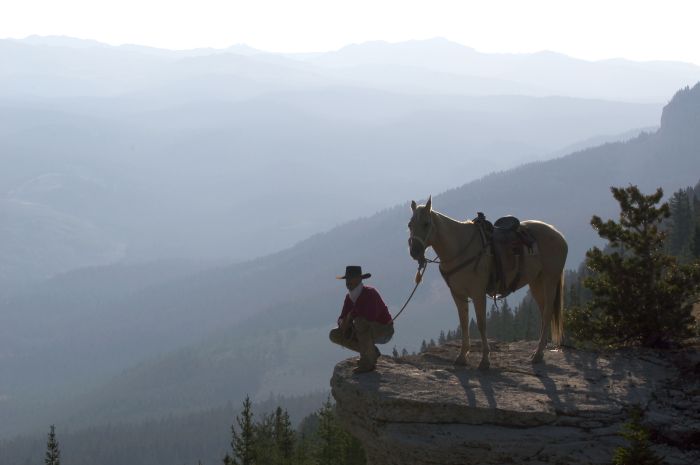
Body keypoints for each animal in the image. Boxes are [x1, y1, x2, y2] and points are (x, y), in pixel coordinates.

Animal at [408, 197, 568, 370]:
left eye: (426, 224)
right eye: (410, 225)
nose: (414, 251)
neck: (460, 247)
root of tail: (558, 235)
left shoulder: (478, 294)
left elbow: (481, 324)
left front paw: (485, 360)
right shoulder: (458, 294)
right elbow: (464, 323)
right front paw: (462, 357)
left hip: (550, 279)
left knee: (547, 313)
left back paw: (538, 354)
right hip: (536, 282)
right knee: (544, 312)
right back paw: (539, 351)